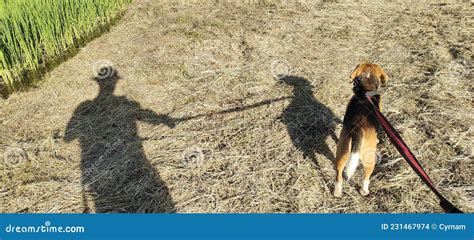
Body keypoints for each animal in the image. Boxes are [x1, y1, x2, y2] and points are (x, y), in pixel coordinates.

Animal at [334, 62, 388, 198]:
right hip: (370, 160)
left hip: (342, 154)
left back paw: (337, 191)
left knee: (339, 174)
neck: (366, 91)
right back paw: (364, 191)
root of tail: (359, 127)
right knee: (366, 177)